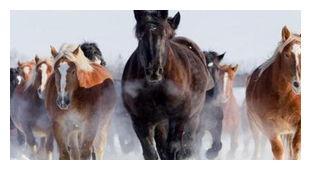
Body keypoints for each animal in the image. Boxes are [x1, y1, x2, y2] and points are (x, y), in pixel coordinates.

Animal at [121, 10, 214, 159]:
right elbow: (151, 153)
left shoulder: (178, 118)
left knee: (186, 146)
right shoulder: (140, 121)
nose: (154, 70)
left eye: (164, 35)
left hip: (193, 117)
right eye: (140, 35)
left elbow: (174, 149)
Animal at [247, 26, 302, 159]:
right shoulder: (269, 125)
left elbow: (296, 148)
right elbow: (278, 151)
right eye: (287, 54)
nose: (298, 84)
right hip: (256, 128)